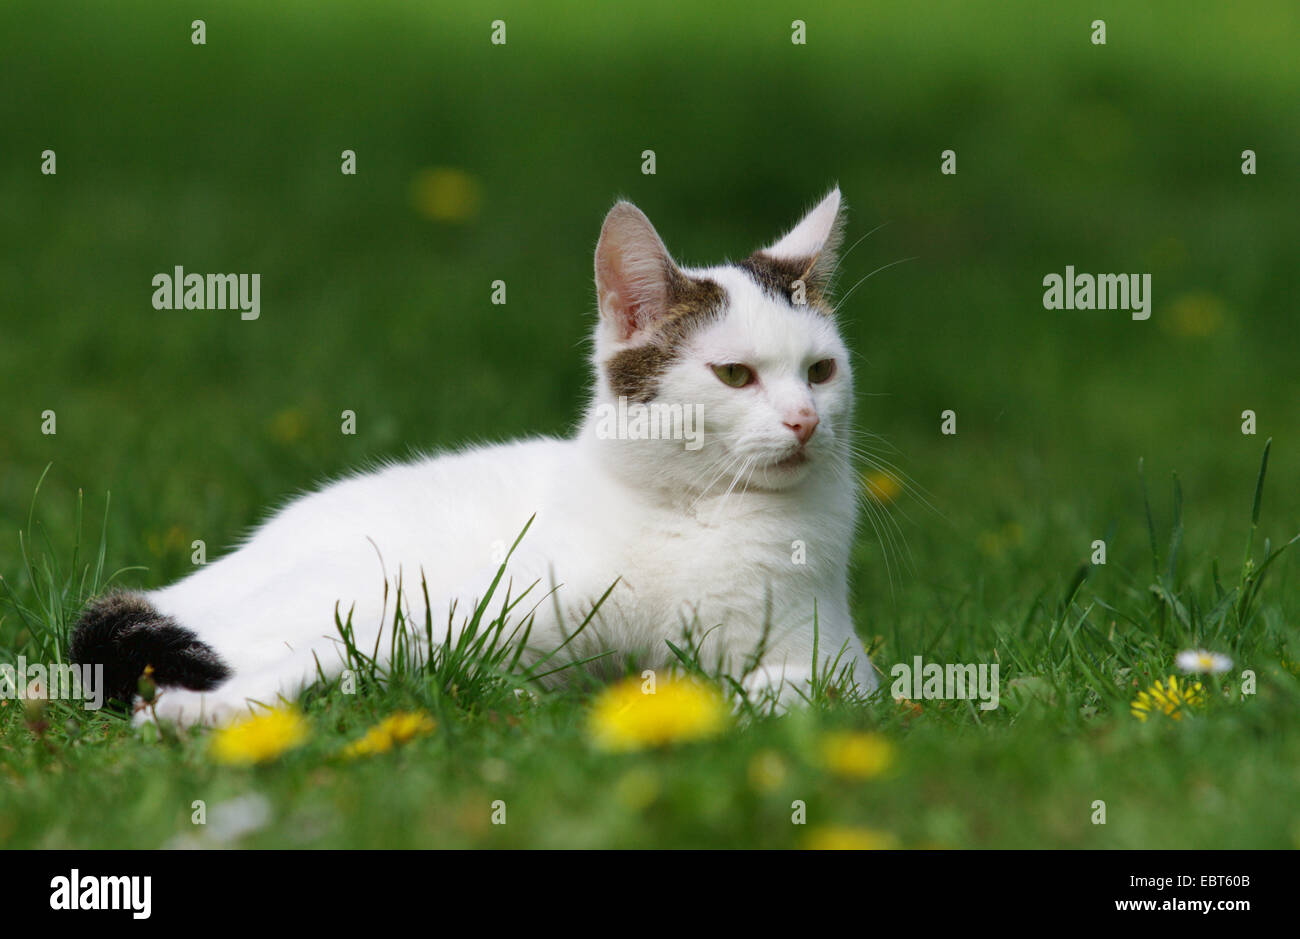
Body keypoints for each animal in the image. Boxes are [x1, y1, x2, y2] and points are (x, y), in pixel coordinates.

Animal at [73, 184, 883, 723]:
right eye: (735, 375)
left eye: (820, 371)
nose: (805, 420)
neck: (696, 513)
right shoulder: (486, 609)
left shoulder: (833, 663)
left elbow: (795, 693)